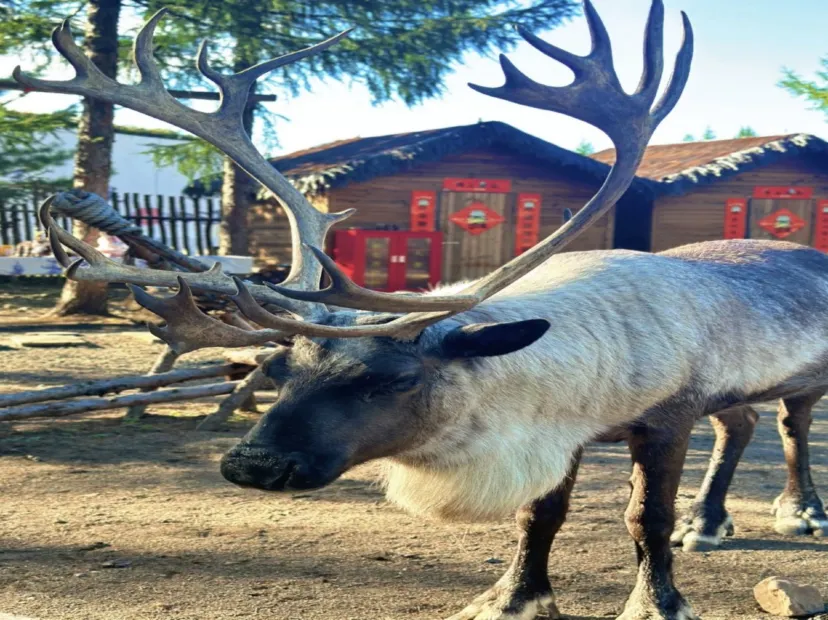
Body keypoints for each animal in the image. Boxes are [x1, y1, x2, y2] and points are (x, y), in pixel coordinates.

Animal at [15, 1, 828, 618]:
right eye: (280, 371)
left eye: (394, 379)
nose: (251, 463)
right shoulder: (563, 436)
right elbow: (539, 515)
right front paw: (512, 599)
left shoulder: (666, 417)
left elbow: (642, 516)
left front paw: (659, 603)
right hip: (734, 392)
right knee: (742, 422)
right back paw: (710, 522)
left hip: (802, 380)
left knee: (790, 426)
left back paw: (799, 511)